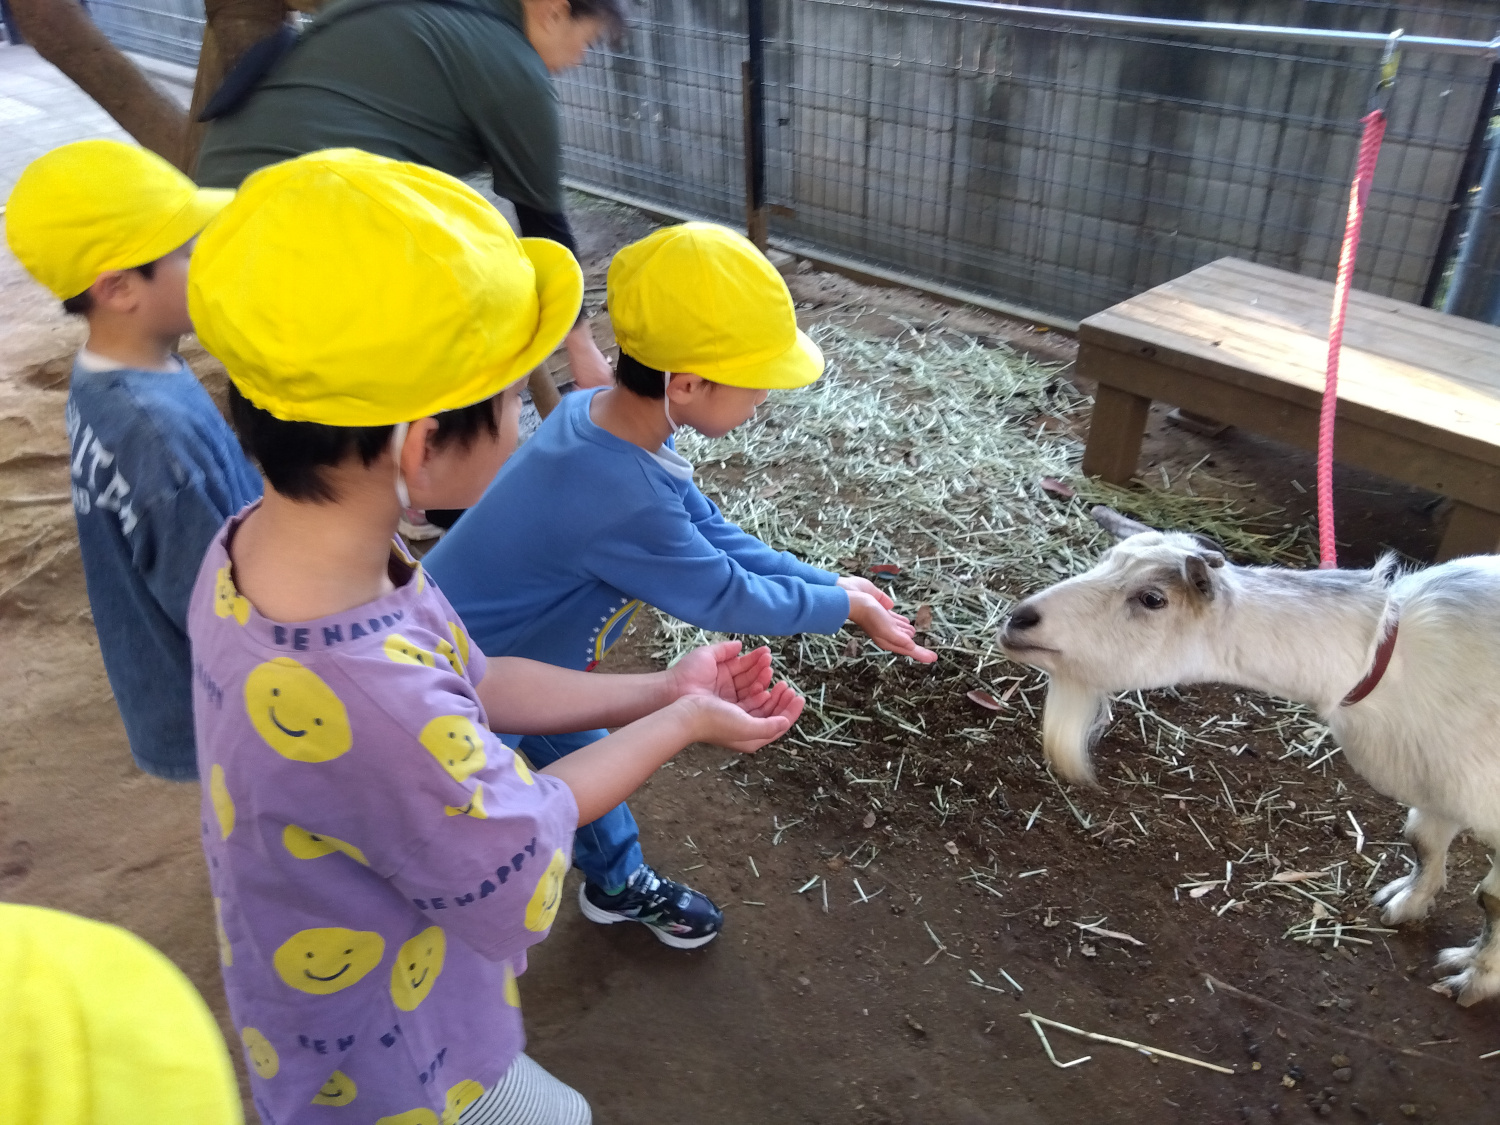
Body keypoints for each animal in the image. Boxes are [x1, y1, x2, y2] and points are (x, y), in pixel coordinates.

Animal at [1002, 507, 1500, 1008]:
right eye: (1103, 561)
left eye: (1152, 598)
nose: (1019, 620)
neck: (1386, 658)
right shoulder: (1437, 785)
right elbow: (1422, 841)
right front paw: (1407, 903)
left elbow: (1490, 899)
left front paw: (1474, 980)